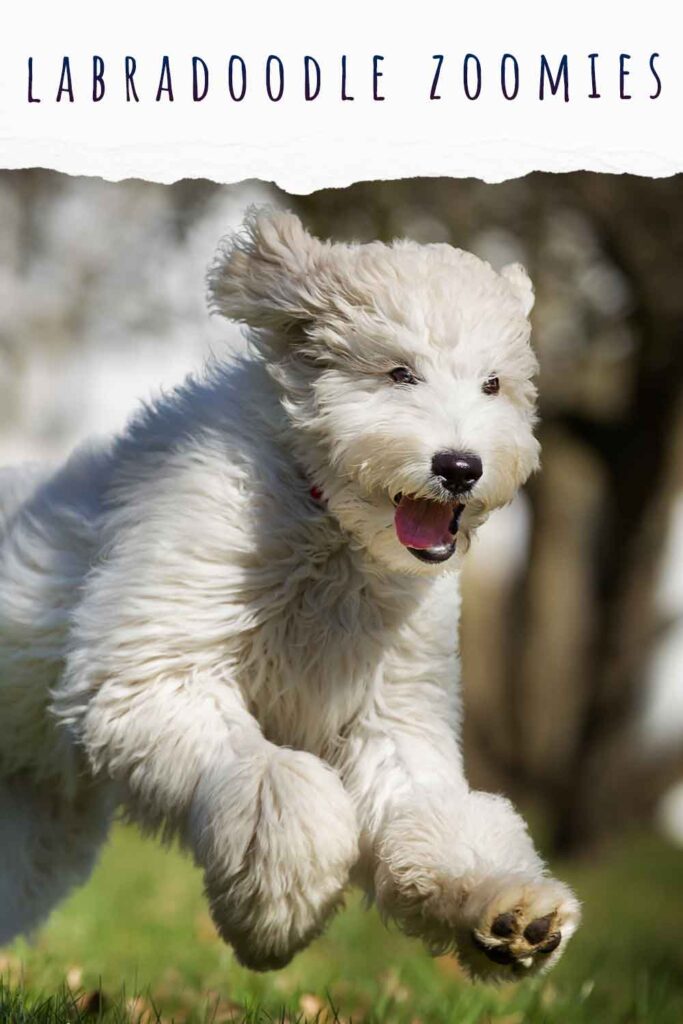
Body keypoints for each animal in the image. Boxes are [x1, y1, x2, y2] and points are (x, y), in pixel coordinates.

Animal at [0, 205, 581, 974]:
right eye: (398, 372)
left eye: (492, 384)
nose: (459, 467)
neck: (326, 527)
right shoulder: (157, 672)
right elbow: (275, 776)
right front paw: (281, 909)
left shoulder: (390, 719)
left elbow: (432, 815)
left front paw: (508, 909)